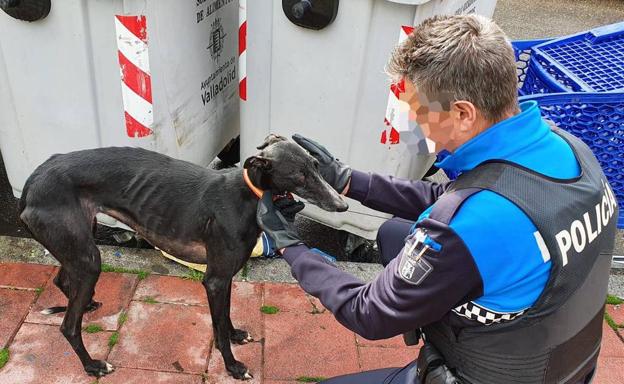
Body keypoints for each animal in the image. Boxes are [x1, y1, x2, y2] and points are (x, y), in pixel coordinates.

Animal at [18, 134, 346, 378]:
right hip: (86, 258)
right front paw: (233, 367)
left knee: (63, 281)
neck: (247, 194)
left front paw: (236, 335)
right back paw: (93, 365)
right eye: (298, 175)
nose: (342, 205)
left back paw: (87, 305)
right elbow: (217, 328)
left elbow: (225, 316)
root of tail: (32, 181)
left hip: (78, 245)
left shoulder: (224, 277)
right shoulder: (215, 279)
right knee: (68, 326)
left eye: (316, 165)